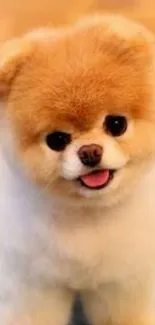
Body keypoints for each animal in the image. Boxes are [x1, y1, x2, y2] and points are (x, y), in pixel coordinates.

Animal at [0, 14, 155, 324]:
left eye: (117, 124)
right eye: (57, 140)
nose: (90, 152)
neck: (84, 217)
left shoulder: (119, 285)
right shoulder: (33, 285)